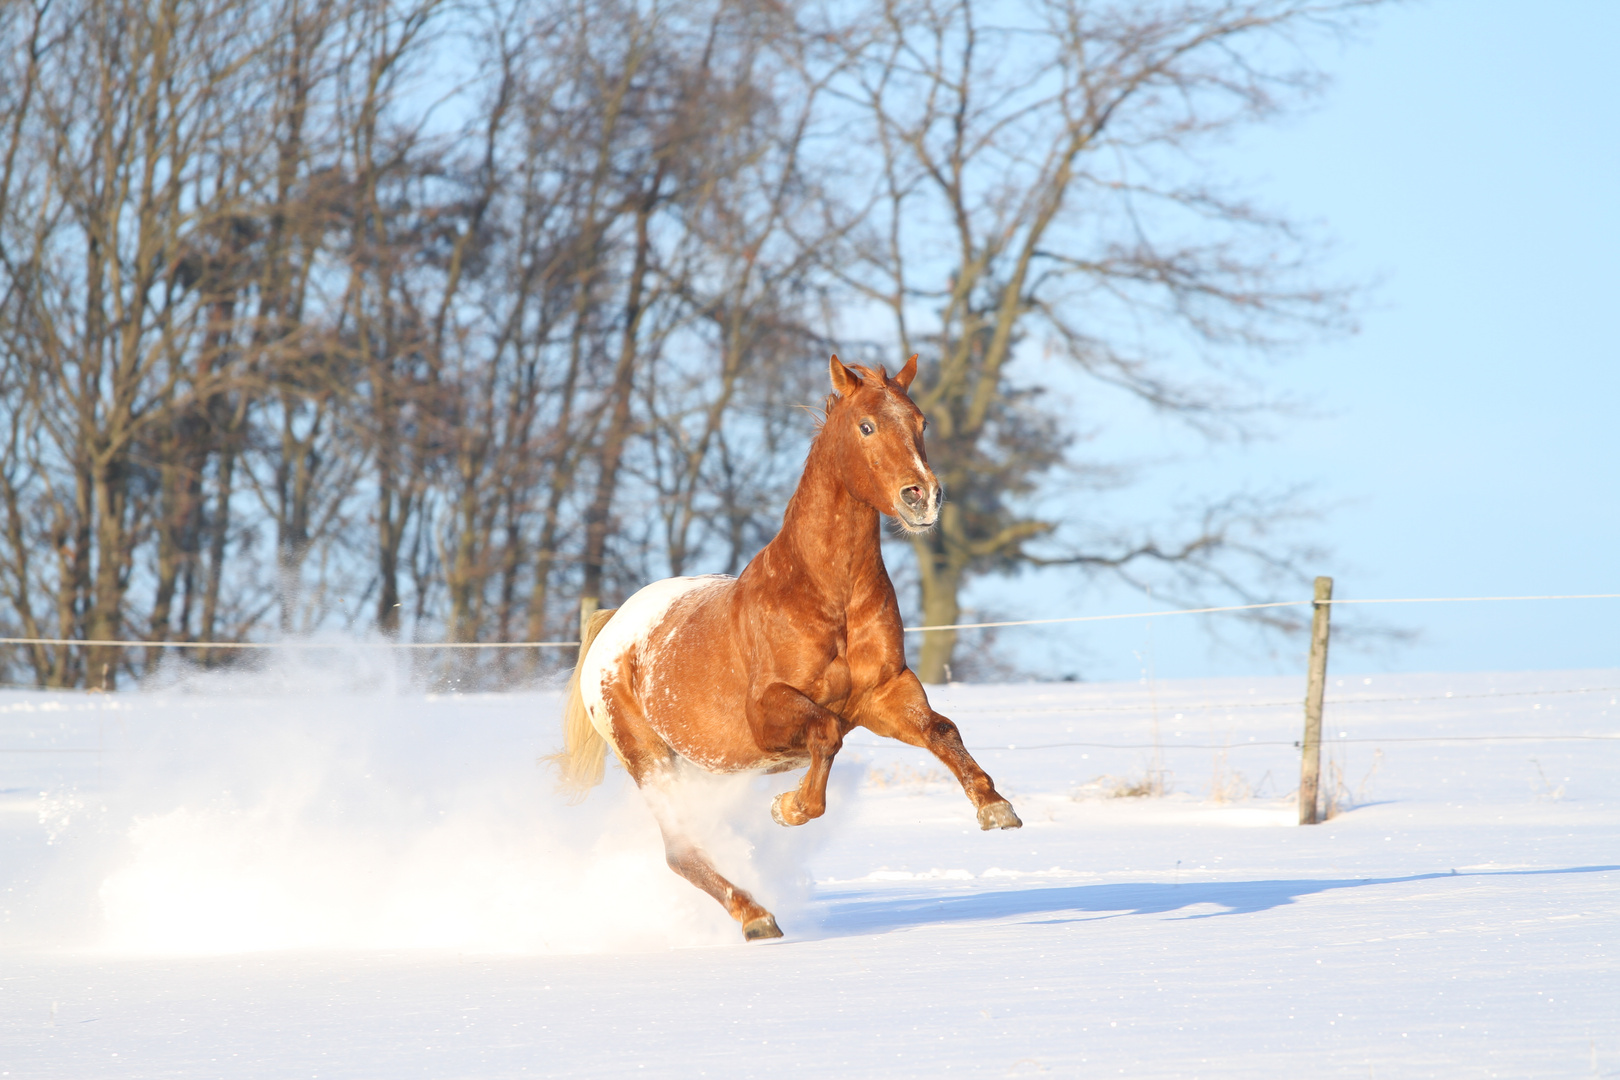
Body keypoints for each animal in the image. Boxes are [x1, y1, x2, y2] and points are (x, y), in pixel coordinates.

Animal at [550, 352, 1017, 939]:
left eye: (922, 422)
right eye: (866, 426)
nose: (923, 497)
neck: (826, 595)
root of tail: (614, 627)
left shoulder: (884, 695)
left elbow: (940, 729)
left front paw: (994, 806)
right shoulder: (769, 712)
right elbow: (824, 737)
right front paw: (788, 808)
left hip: (695, 767)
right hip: (647, 757)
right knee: (680, 851)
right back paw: (756, 917)